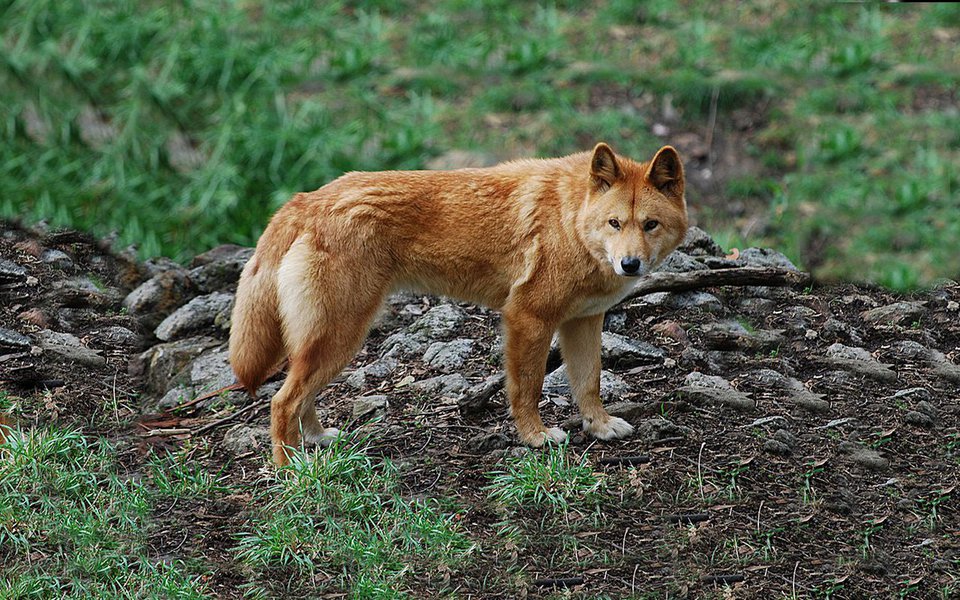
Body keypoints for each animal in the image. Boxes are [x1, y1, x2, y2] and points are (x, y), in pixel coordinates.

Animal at [229, 144, 688, 464]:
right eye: (615, 223)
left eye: (650, 224)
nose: (630, 264)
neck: (571, 220)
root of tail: (308, 199)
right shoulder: (528, 318)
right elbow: (528, 388)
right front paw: (535, 437)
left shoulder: (585, 321)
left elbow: (589, 382)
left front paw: (600, 426)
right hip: (340, 336)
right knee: (282, 401)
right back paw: (292, 468)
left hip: (331, 341)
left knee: (299, 397)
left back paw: (318, 440)